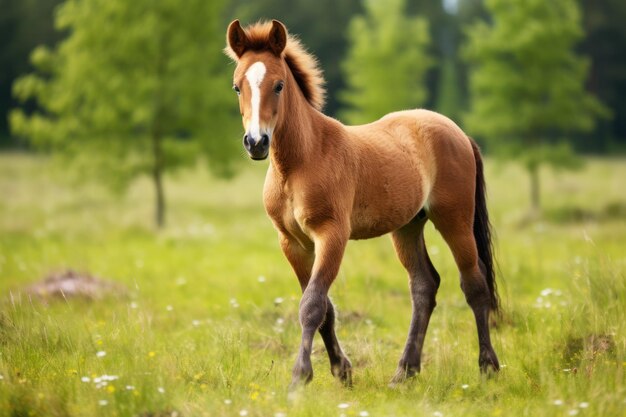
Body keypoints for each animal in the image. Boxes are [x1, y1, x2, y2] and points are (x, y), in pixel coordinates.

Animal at [224, 19, 498, 388]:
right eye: (238, 87)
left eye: (279, 85)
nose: (256, 142)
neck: (300, 162)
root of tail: (459, 133)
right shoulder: (293, 243)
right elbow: (325, 308)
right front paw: (342, 371)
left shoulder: (332, 235)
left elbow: (312, 305)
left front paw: (300, 377)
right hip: (408, 227)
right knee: (424, 286)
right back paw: (404, 372)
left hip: (454, 219)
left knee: (474, 285)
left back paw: (487, 367)